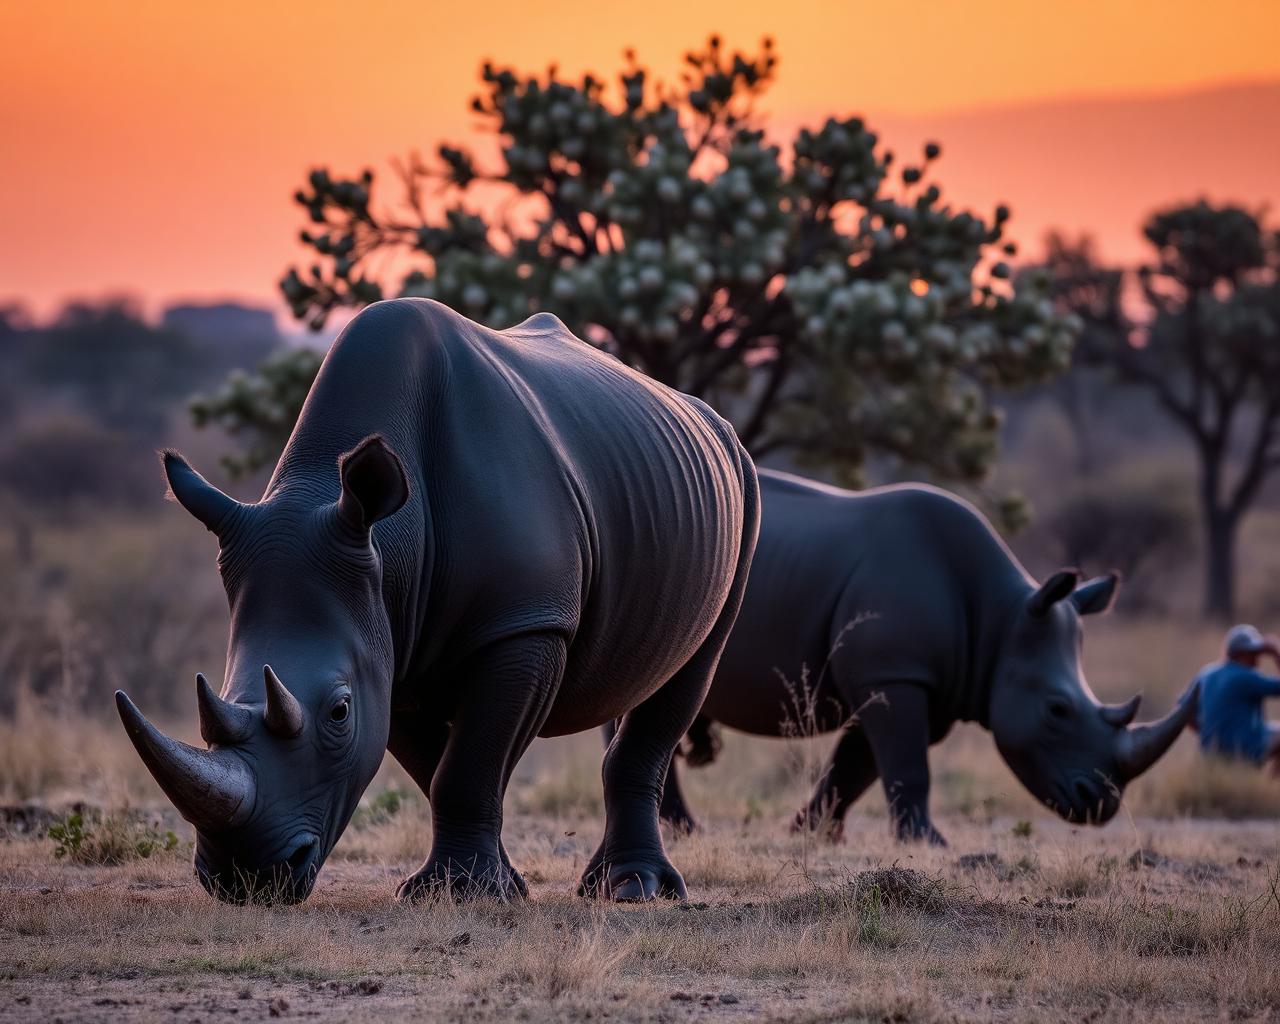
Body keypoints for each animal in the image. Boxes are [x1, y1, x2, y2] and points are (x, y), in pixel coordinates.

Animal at [116, 298, 758, 904]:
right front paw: (495, 884)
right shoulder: (388, 640)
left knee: (689, 671)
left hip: (744, 485)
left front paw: (461, 891)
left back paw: (634, 890)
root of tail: (710, 418)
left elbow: (468, 763)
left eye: (339, 712)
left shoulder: (525, 623)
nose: (243, 879)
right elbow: (441, 766)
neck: (385, 541)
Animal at [645, 470, 1196, 844]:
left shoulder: (906, 678)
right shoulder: (895, 673)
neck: (1001, 622)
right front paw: (928, 842)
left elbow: (856, 766)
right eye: (1057, 711)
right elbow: (907, 765)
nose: (1099, 804)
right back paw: (685, 830)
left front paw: (812, 833)